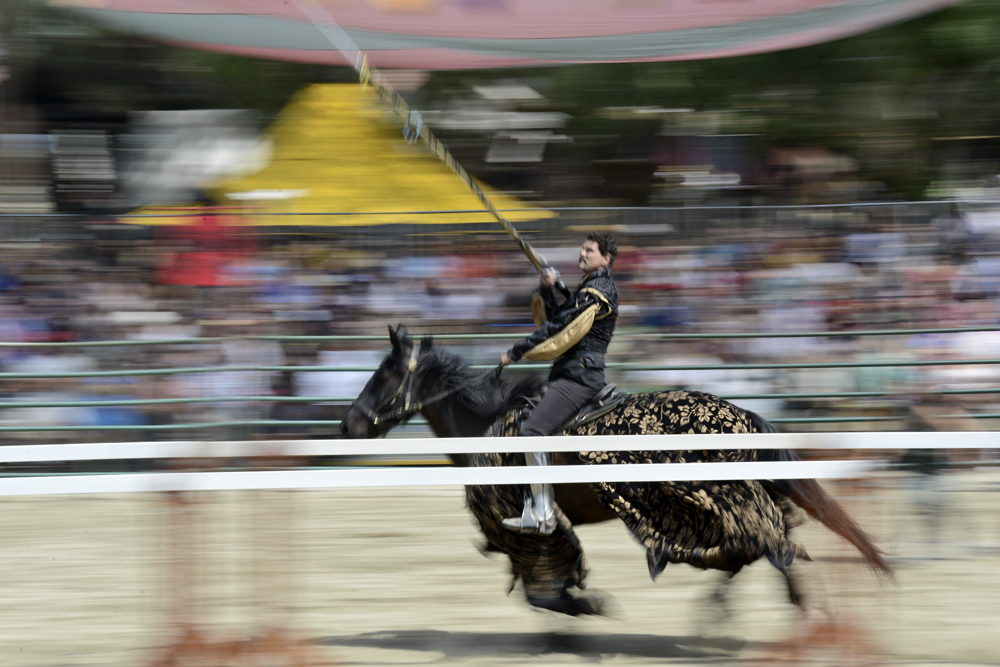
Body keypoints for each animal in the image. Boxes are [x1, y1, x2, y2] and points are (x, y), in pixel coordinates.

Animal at [344, 328, 892, 616]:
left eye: (383, 374)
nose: (348, 424)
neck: (485, 426)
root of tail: (742, 413)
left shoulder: (529, 535)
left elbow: (547, 590)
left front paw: (587, 607)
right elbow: (548, 592)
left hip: (722, 498)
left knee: (762, 546)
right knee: (765, 548)